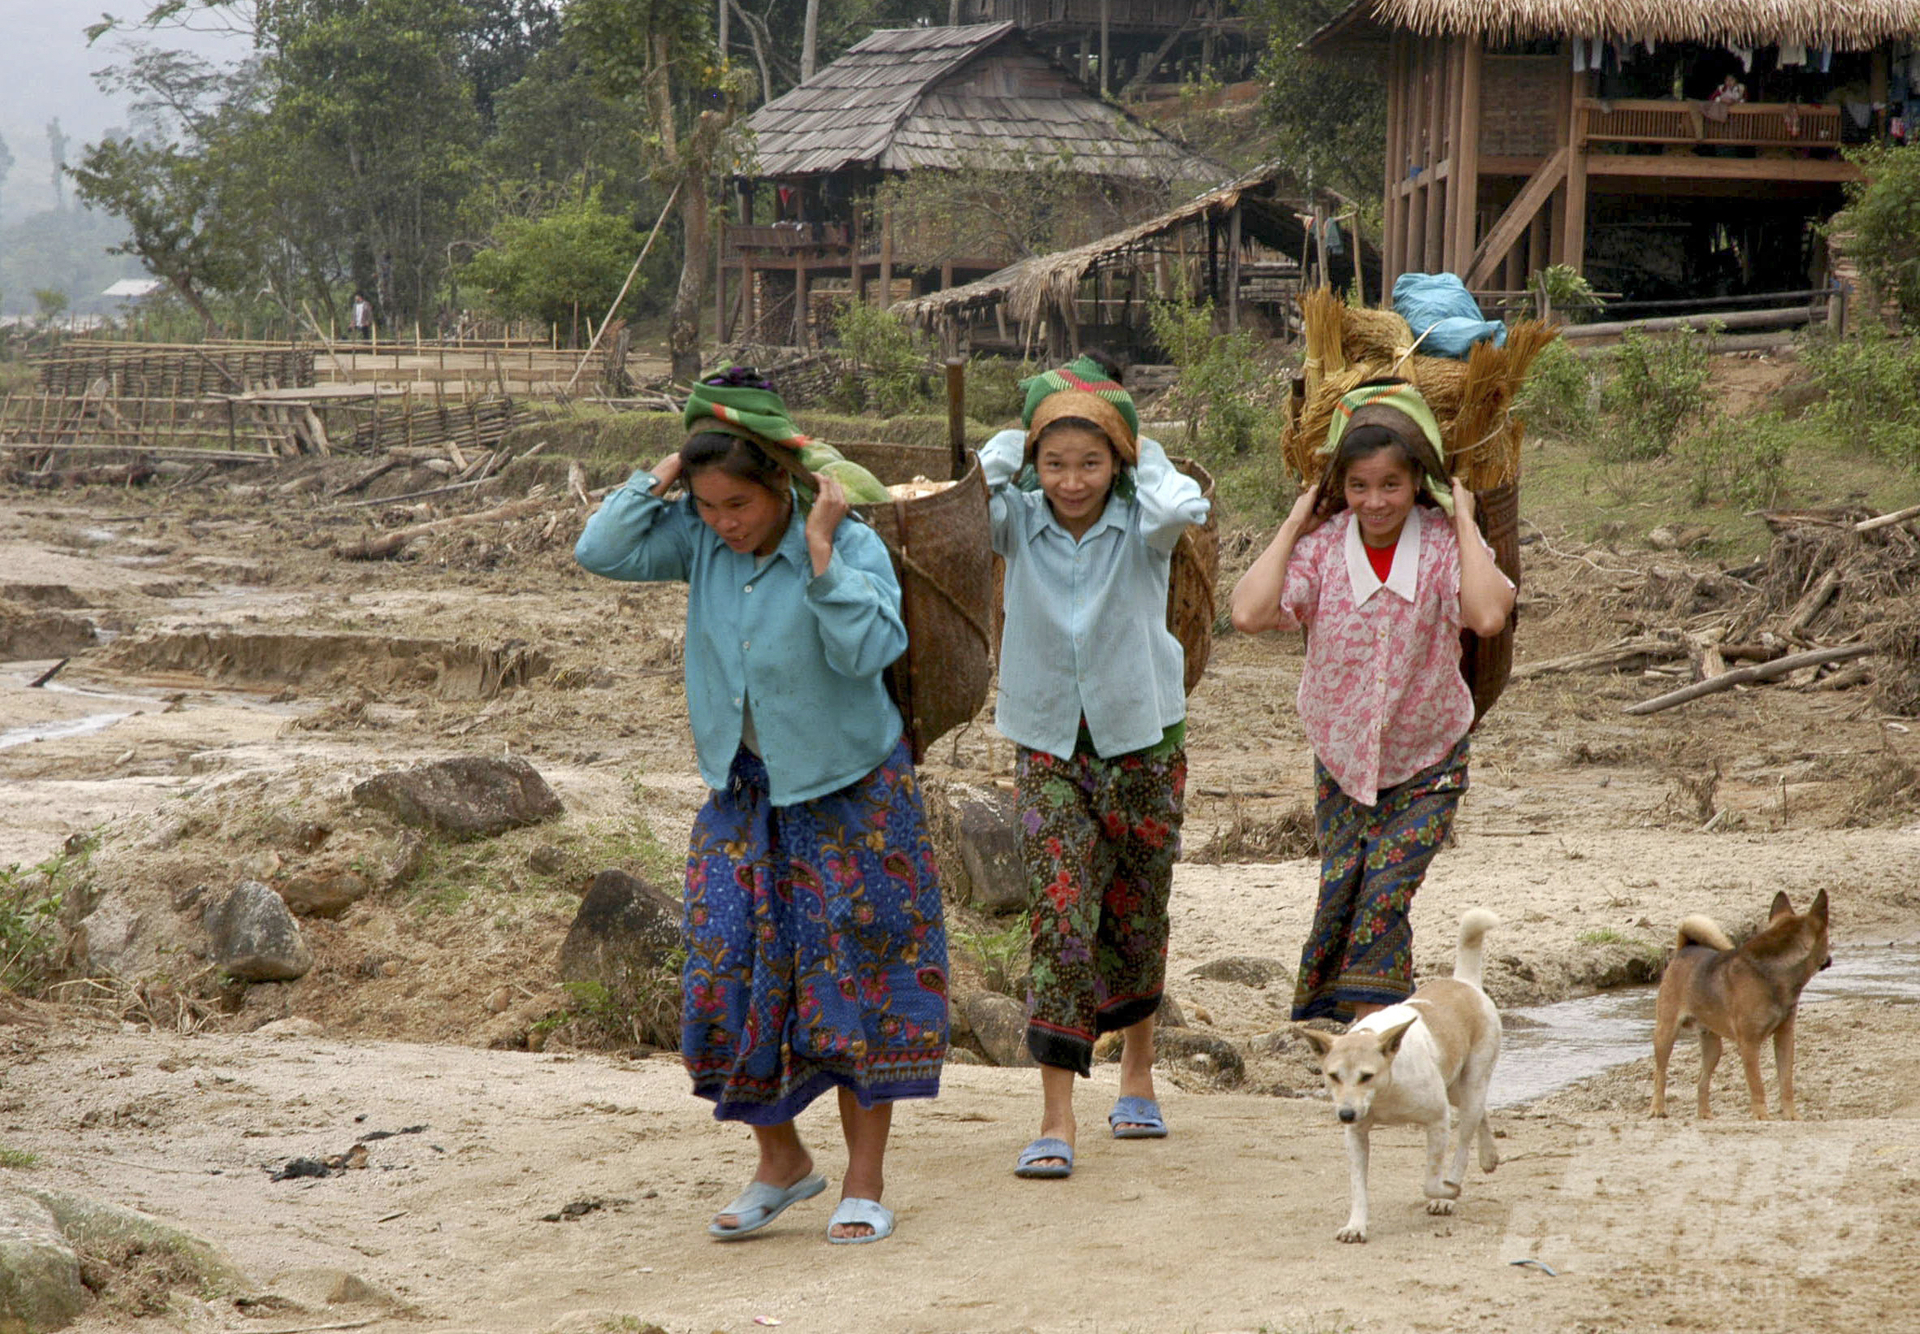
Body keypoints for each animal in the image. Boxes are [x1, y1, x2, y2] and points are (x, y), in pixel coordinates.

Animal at [1297, 913, 1505, 1243]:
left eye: (1366, 1076)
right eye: (1333, 1076)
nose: (1345, 1114)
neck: (1384, 1091)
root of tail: (1465, 983)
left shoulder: (1438, 1120)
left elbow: (1431, 1180)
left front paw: (1447, 1191)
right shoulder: (1356, 1136)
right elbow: (1358, 1186)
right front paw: (1356, 1225)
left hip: (1471, 1083)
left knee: (1464, 1143)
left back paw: (1451, 1192)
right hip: (1456, 1088)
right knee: (1481, 1111)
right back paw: (1489, 1156)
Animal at [1651, 890, 1827, 1120]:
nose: (1829, 959)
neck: (1772, 972)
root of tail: (1684, 949)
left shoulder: (1785, 1038)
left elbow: (1786, 1082)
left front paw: (1790, 1115)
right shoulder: (1749, 1044)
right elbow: (1757, 1084)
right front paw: (1761, 1116)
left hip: (1713, 1048)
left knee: (1701, 1081)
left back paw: (1704, 1114)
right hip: (1666, 1034)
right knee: (1660, 1074)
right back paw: (1657, 1109)